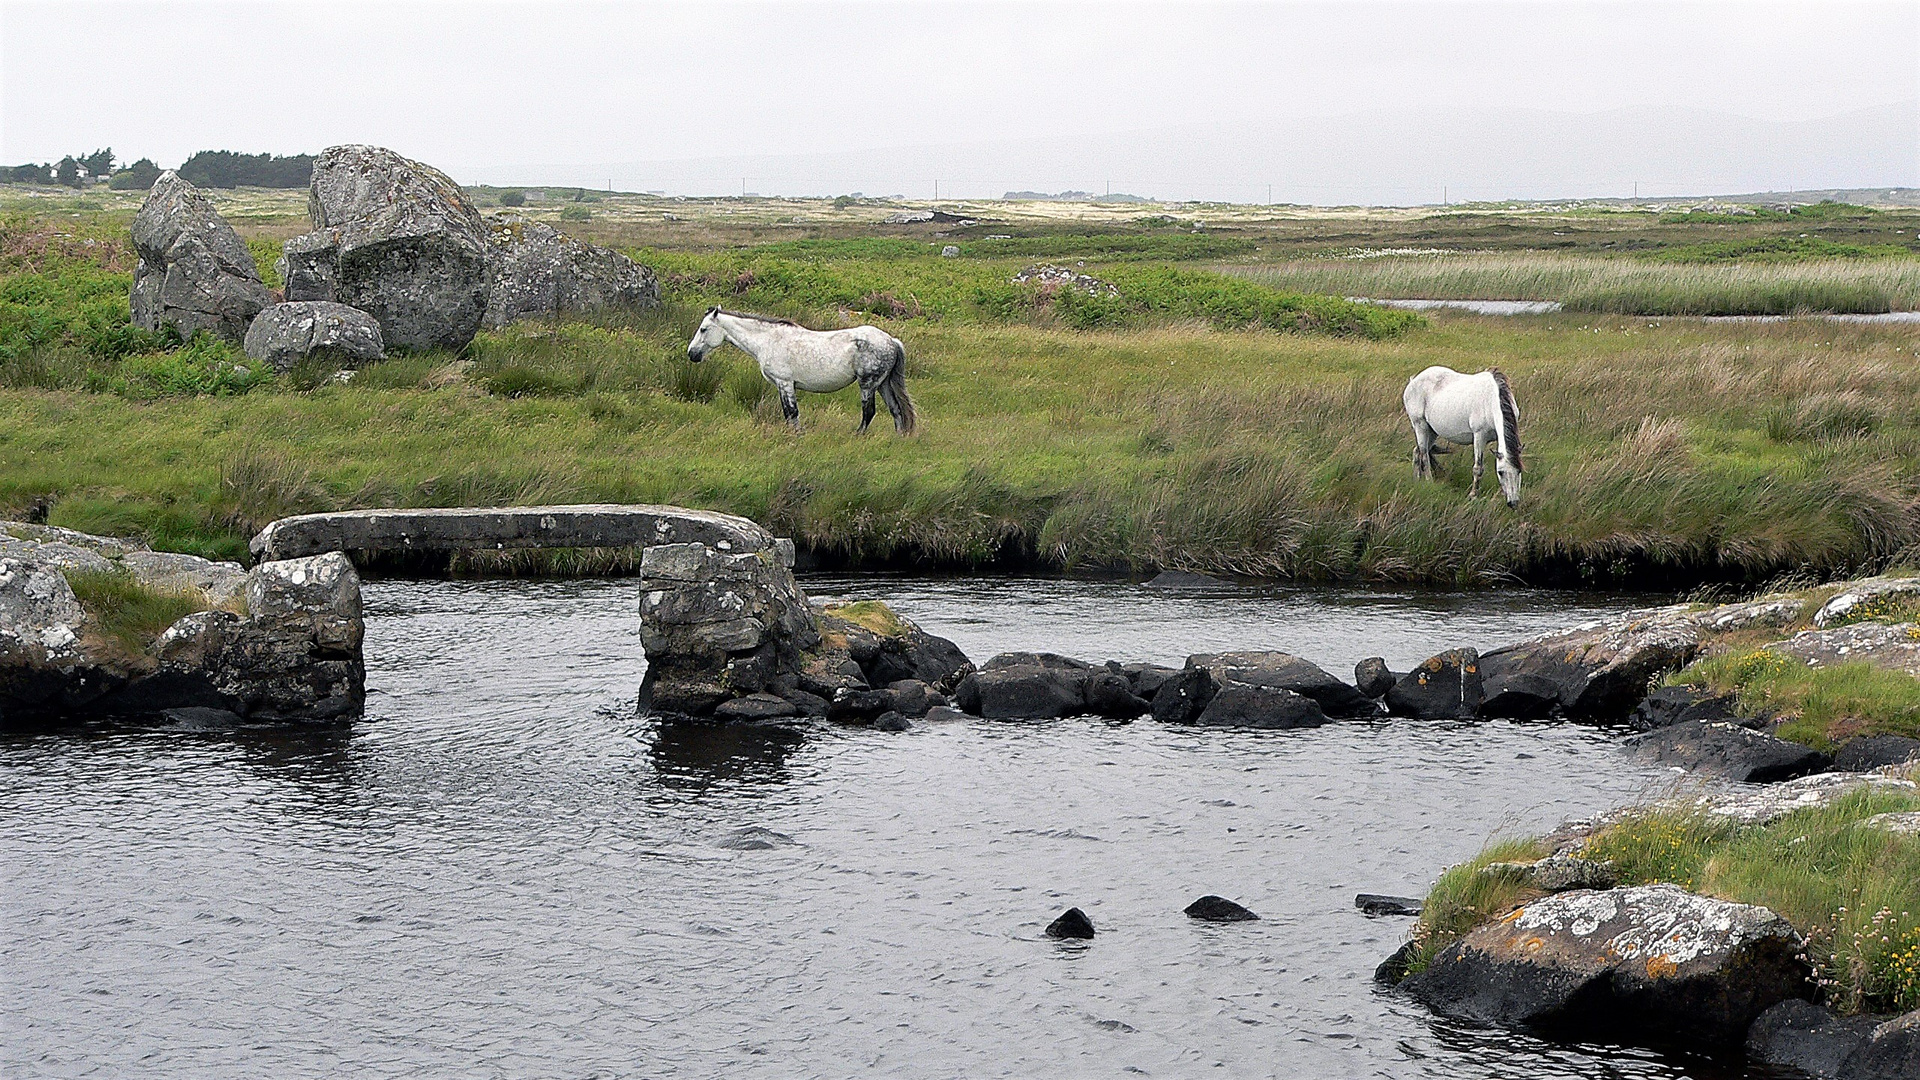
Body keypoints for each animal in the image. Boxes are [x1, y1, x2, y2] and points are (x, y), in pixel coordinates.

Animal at [683, 305, 913, 430]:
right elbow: (789, 414)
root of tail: (891, 341)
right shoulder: (782, 385)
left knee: (869, 412)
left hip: (868, 384)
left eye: (703, 329)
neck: (768, 340)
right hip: (882, 384)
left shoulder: (785, 383)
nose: (692, 354)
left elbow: (792, 413)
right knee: (896, 411)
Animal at [1405, 365, 1520, 503]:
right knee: (1424, 455)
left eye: (1519, 471)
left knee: (1417, 452)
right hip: (1420, 425)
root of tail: (1413, 381)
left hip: (1431, 431)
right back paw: (1429, 482)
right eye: (1501, 472)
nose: (1513, 503)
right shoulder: (1479, 436)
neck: (1490, 399)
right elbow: (1478, 468)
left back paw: (1416, 481)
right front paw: (1473, 495)